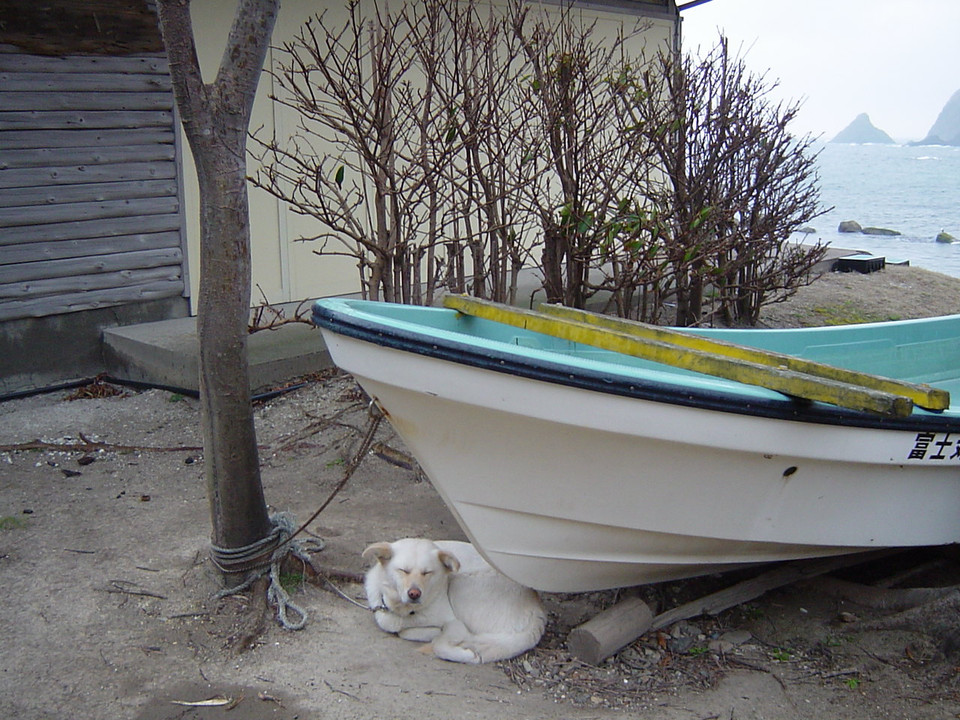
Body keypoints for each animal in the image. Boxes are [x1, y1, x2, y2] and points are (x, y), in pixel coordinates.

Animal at [364, 540, 548, 664]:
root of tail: (537, 611)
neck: (407, 611)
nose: (414, 594)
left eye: (427, 572)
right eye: (403, 570)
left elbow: (434, 641)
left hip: (460, 583)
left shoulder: (455, 623)